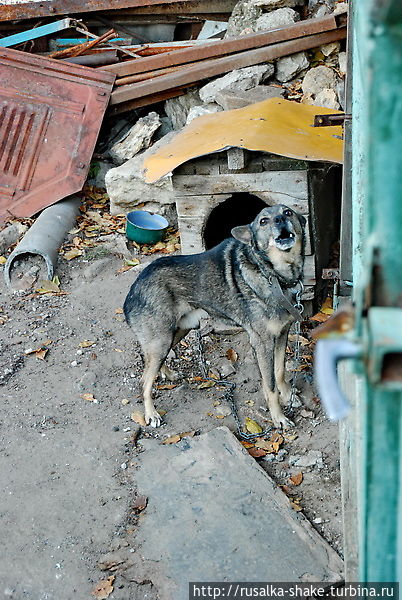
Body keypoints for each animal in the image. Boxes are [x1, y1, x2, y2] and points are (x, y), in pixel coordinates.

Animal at [122, 204, 304, 428]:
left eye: (288, 212)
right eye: (263, 221)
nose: (279, 220)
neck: (273, 275)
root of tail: (133, 290)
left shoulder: (281, 334)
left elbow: (280, 371)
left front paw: (288, 396)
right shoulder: (263, 343)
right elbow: (269, 385)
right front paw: (278, 417)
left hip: (177, 332)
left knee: (151, 363)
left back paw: (167, 373)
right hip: (161, 340)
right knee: (144, 380)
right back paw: (151, 413)